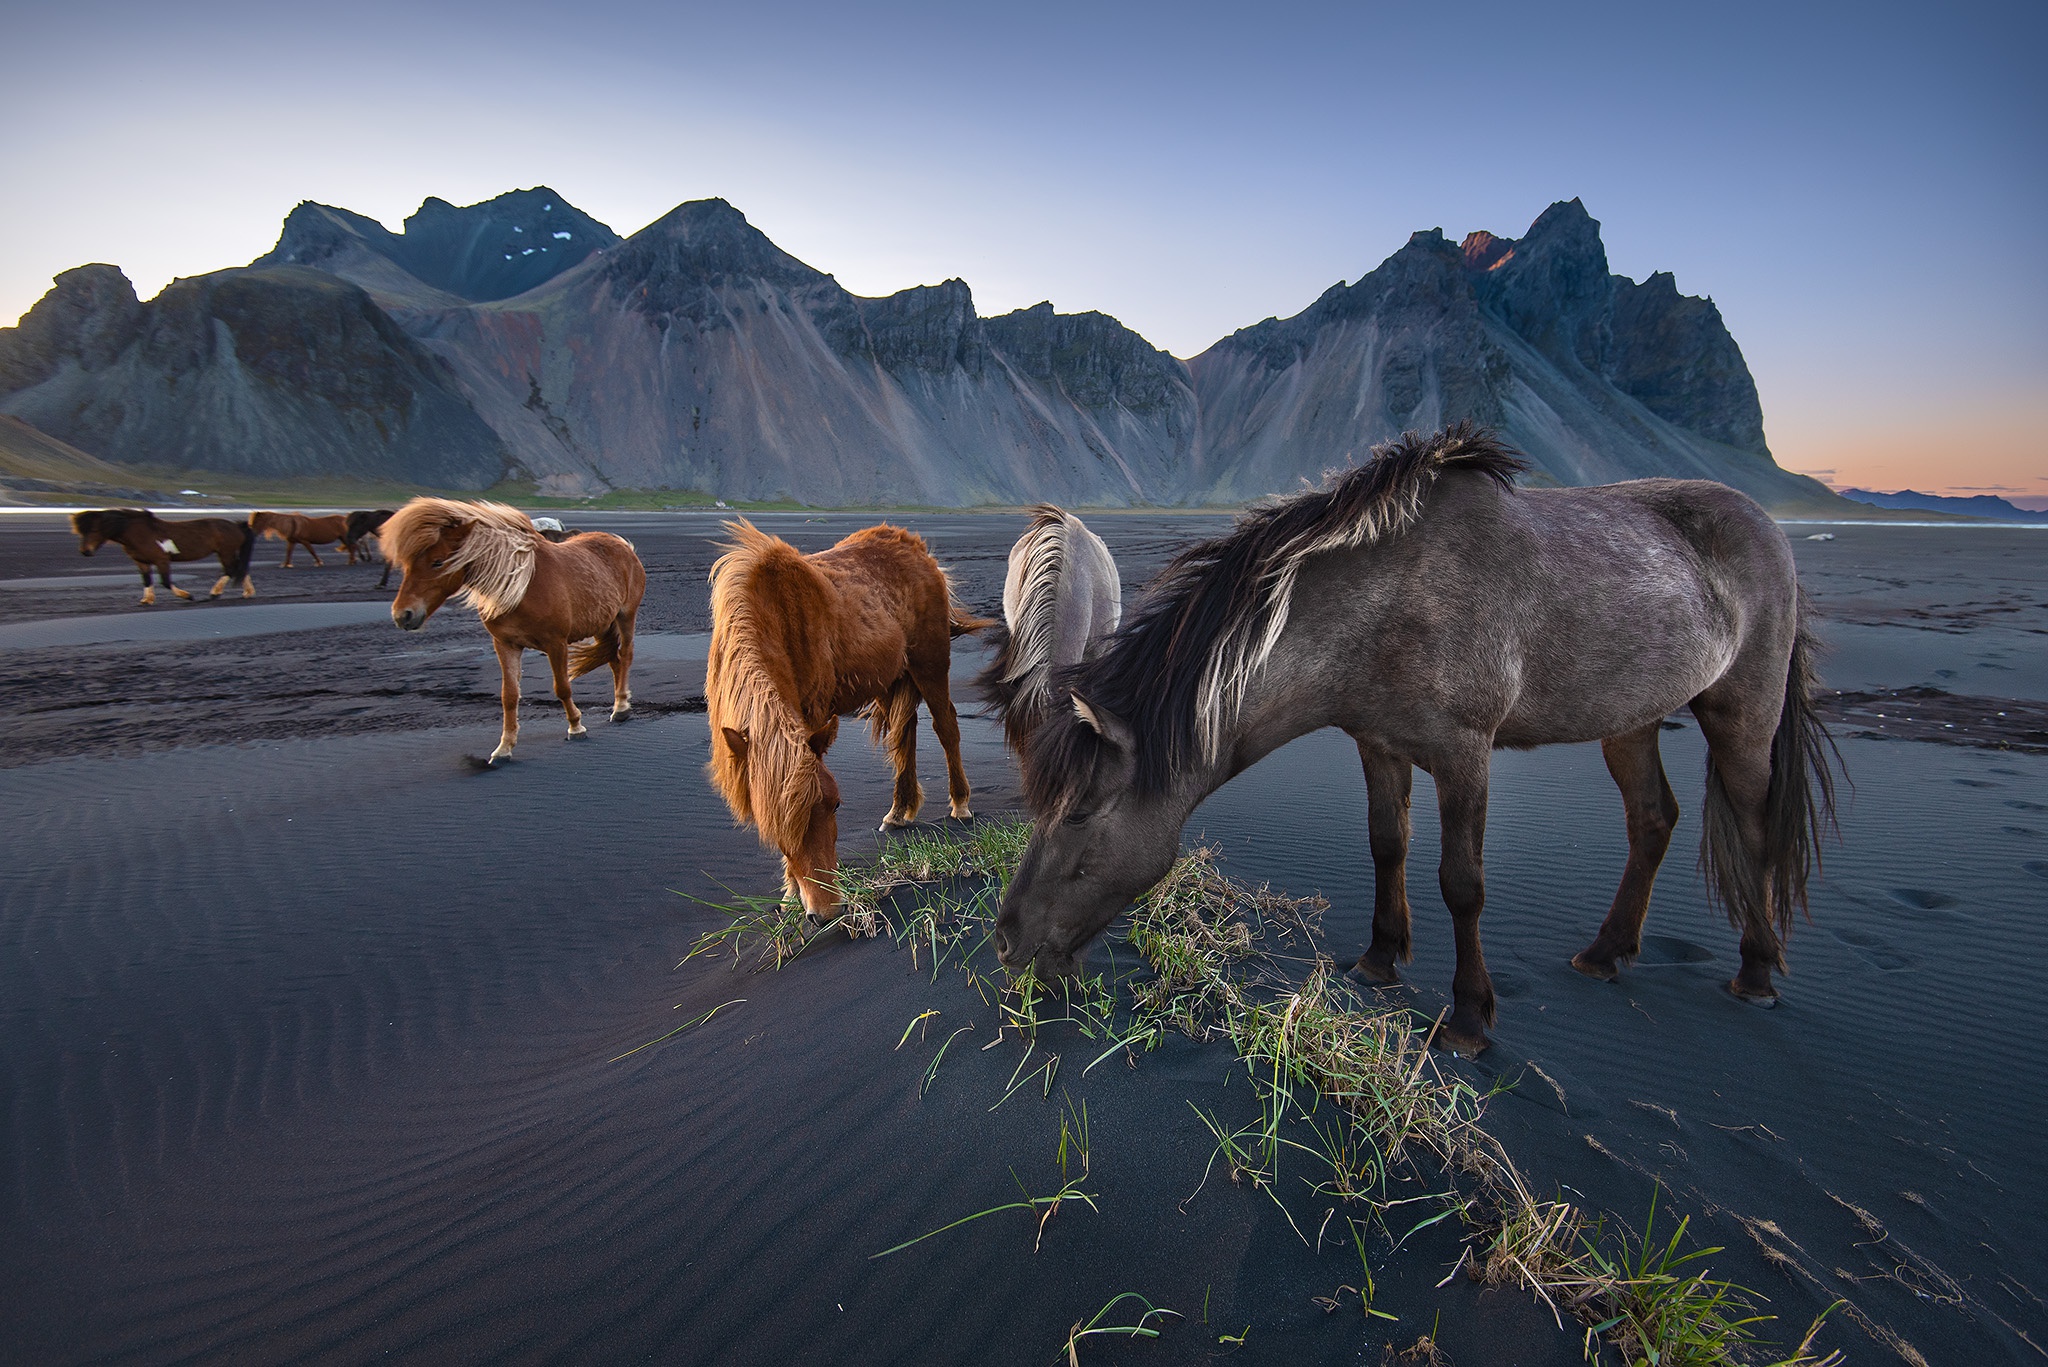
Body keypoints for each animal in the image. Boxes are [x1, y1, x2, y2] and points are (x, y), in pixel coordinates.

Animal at [72, 508, 258, 602]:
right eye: (80, 531)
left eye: (94, 530)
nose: (85, 551)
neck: (137, 532)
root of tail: (236, 526)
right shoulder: (141, 562)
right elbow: (147, 580)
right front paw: (147, 600)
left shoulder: (161, 560)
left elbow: (166, 582)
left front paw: (187, 595)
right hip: (227, 552)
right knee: (240, 569)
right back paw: (248, 593)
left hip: (225, 552)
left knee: (231, 570)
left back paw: (215, 593)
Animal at [376, 500, 643, 766]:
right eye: (407, 564)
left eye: (438, 562)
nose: (403, 615)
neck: (521, 586)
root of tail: (622, 545)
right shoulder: (505, 644)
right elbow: (509, 695)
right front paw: (504, 748)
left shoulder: (556, 643)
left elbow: (562, 687)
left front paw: (576, 728)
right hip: (602, 625)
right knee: (614, 661)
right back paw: (619, 705)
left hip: (625, 616)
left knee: (626, 655)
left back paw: (621, 708)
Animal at [704, 520, 991, 918]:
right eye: (772, 825)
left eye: (836, 804)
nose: (825, 910)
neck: (774, 616)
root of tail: (918, 550)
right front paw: (791, 892)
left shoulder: (812, 715)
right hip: (890, 678)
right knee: (906, 735)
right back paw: (899, 811)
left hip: (930, 663)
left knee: (945, 725)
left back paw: (960, 804)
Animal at [991, 422, 1843, 1057]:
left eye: (1079, 815)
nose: (1006, 941)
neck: (1388, 600)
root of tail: (1767, 527)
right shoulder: (1377, 743)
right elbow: (1385, 844)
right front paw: (1378, 958)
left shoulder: (1463, 755)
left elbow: (1461, 882)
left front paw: (1467, 1017)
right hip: (1630, 719)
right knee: (1653, 818)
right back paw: (1606, 952)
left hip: (1743, 715)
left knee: (1754, 826)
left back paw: (1756, 972)